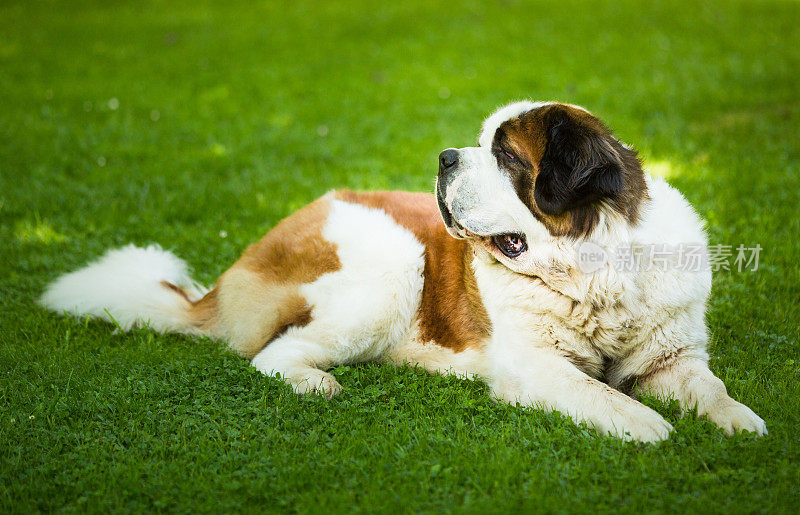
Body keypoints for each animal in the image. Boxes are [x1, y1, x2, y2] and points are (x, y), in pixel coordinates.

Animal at [43, 101, 768, 444]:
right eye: (479, 143)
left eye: (505, 155)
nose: (446, 156)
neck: (598, 267)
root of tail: (236, 267)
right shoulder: (535, 365)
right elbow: (601, 393)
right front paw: (648, 426)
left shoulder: (672, 355)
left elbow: (709, 387)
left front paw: (741, 423)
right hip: (391, 265)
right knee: (273, 353)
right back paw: (315, 382)